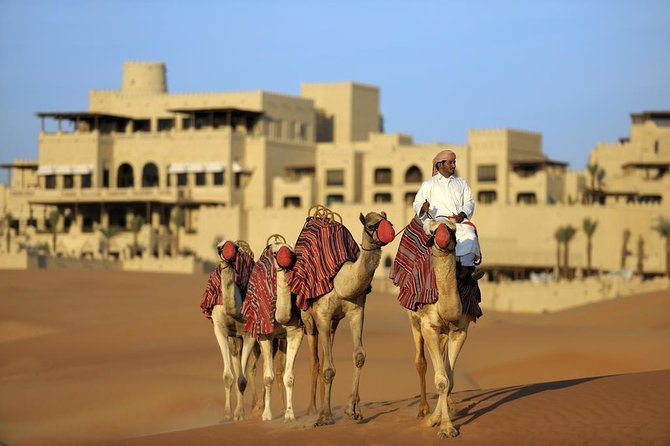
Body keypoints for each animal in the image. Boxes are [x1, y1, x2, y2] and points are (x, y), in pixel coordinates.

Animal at [209, 239, 264, 420]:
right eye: (219, 247)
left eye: (235, 247)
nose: (228, 254)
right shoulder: (220, 330)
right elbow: (228, 376)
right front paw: (227, 414)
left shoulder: (250, 335)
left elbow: (242, 379)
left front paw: (239, 414)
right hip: (235, 339)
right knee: (238, 362)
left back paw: (258, 406)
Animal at [300, 209, 394, 426]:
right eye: (370, 225)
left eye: (387, 221)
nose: (389, 233)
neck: (340, 282)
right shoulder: (322, 315)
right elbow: (327, 369)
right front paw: (326, 417)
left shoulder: (356, 312)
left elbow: (359, 356)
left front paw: (352, 410)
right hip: (309, 321)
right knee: (315, 362)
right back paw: (311, 411)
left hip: (333, 323)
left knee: (324, 357)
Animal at [410, 220, 478, 440]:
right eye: (432, 231)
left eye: (453, 229)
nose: (442, 239)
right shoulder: (429, 327)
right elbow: (441, 380)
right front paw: (437, 422)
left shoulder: (459, 331)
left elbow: (449, 379)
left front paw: (443, 422)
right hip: (414, 321)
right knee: (421, 362)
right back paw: (422, 409)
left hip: (444, 334)